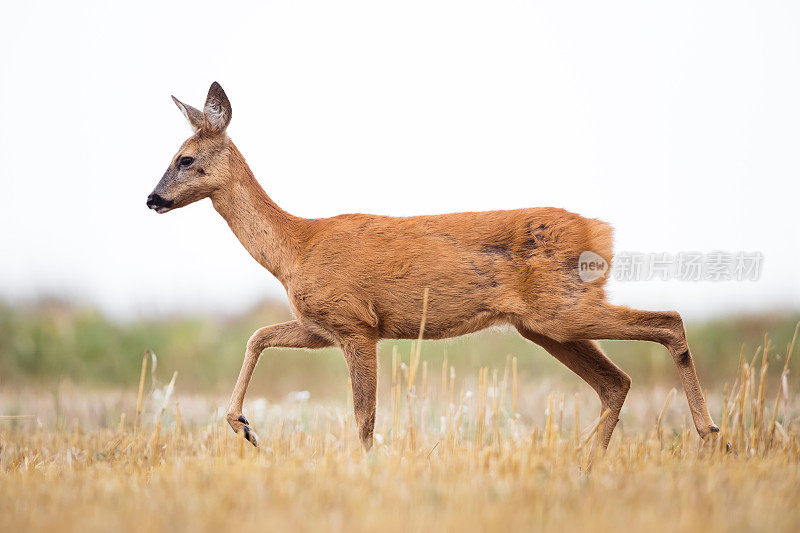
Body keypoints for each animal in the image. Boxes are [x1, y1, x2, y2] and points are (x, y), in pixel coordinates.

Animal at [145, 81, 720, 450]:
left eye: (185, 159)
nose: (152, 199)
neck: (295, 247)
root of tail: (600, 231)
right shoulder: (322, 326)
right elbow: (258, 335)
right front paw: (241, 424)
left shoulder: (357, 324)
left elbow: (364, 417)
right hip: (544, 325)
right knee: (615, 381)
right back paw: (587, 459)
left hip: (563, 309)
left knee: (668, 322)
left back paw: (710, 435)